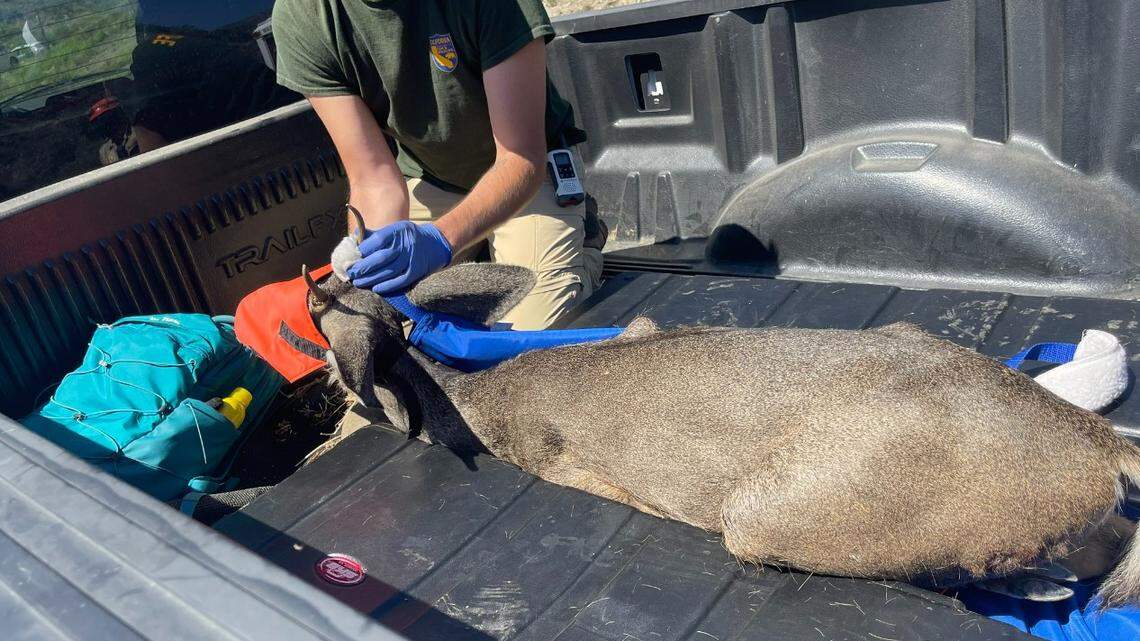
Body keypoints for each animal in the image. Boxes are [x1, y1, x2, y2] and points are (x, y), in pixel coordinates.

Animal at [299, 256, 1140, 608]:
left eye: (326, 354)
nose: (318, 422)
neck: (475, 397)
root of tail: (1097, 446)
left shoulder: (565, 461)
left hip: (764, 513)